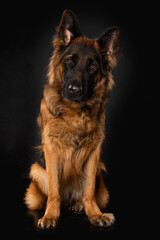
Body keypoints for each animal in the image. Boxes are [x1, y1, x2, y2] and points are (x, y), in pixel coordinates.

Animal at [24, 9, 119, 229]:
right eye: (69, 61)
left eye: (92, 66)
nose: (74, 90)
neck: (75, 111)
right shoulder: (51, 148)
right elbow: (54, 190)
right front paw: (50, 215)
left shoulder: (94, 152)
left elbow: (89, 189)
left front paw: (94, 214)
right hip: (36, 170)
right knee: (47, 195)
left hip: (100, 172)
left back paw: (78, 205)